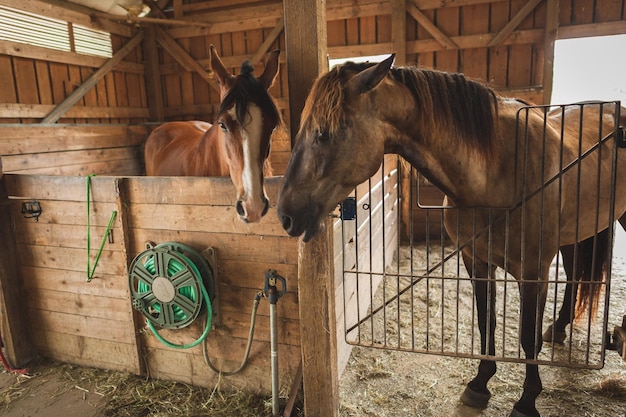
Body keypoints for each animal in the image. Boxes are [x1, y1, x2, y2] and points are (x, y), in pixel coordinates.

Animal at [278, 56, 624, 416]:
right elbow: (487, 321)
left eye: (323, 133)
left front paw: (527, 400)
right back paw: (558, 328)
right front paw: (480, 383)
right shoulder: (477, 261)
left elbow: (528, 337)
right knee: (573, 275)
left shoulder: (534, 271)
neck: (496, 174)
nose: (285, 215)